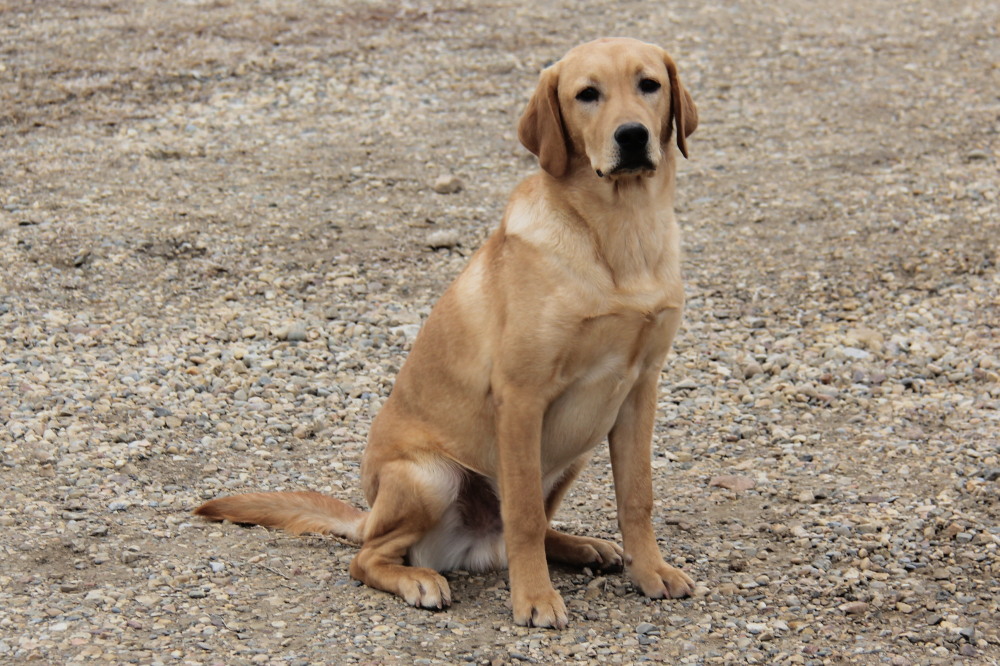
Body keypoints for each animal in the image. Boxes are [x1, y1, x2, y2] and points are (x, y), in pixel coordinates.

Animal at [195, 36, 696, 628]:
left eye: (649, 85)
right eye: (587, 94)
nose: (632, 135)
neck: (621, 234)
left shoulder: (640, 389)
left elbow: (636, 498)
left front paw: (651, 572)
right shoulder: (522, 398)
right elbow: (523, 514)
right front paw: (534, 599)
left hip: (577, 448)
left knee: (523, 529)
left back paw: (580, 547)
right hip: (432, 478)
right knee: (370, 558)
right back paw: (419, 580)